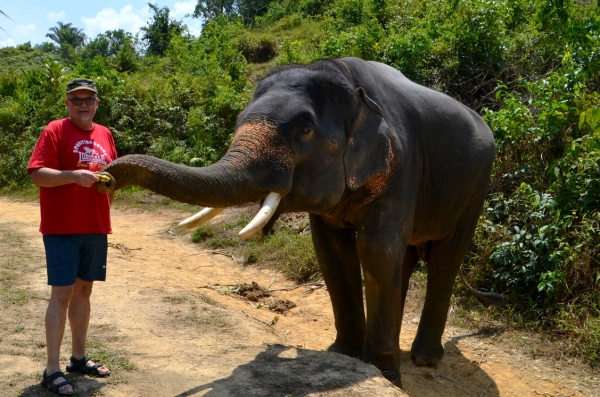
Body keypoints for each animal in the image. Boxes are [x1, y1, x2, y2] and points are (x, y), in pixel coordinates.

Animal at [97, 57, 502, 386]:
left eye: (305, 130)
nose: (105, 179)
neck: (348, 80)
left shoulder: (401, 165)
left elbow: (376, 250)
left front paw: (385, 376)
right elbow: (333, 254)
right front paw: (343, 356)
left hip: (477, 186)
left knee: (444, 260)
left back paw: (424, 359)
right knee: (404, 259)